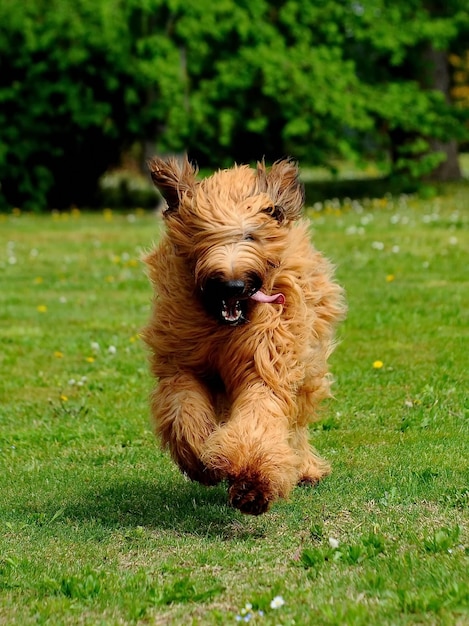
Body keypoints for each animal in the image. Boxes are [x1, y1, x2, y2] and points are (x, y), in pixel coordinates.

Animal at [143, 155, 344, 512]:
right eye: (204, 236)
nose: (233, 285)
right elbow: (184, 409)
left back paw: (304, 467)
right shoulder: (181, 362)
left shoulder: (267, 357)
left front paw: (252, 481)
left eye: (251, 236)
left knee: (296, 422)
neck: (223, 326)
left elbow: (260, 413)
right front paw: (200, 455)